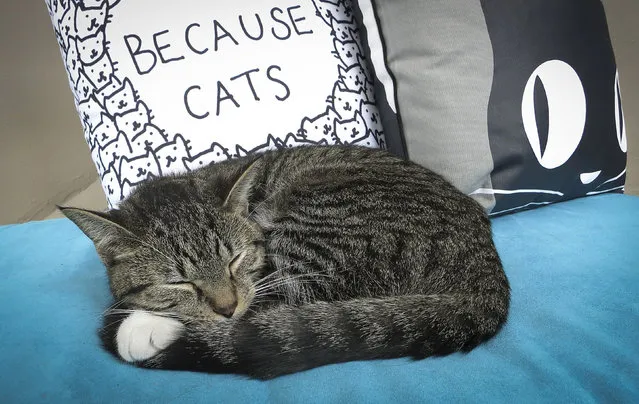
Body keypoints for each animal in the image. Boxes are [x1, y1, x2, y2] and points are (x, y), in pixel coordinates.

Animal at [60, 145, 510, 378]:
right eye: (179, 283)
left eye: (235, 259)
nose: (226, 308)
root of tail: (486, 269)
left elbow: (258, 302)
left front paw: (141, 325)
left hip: (322, 227)